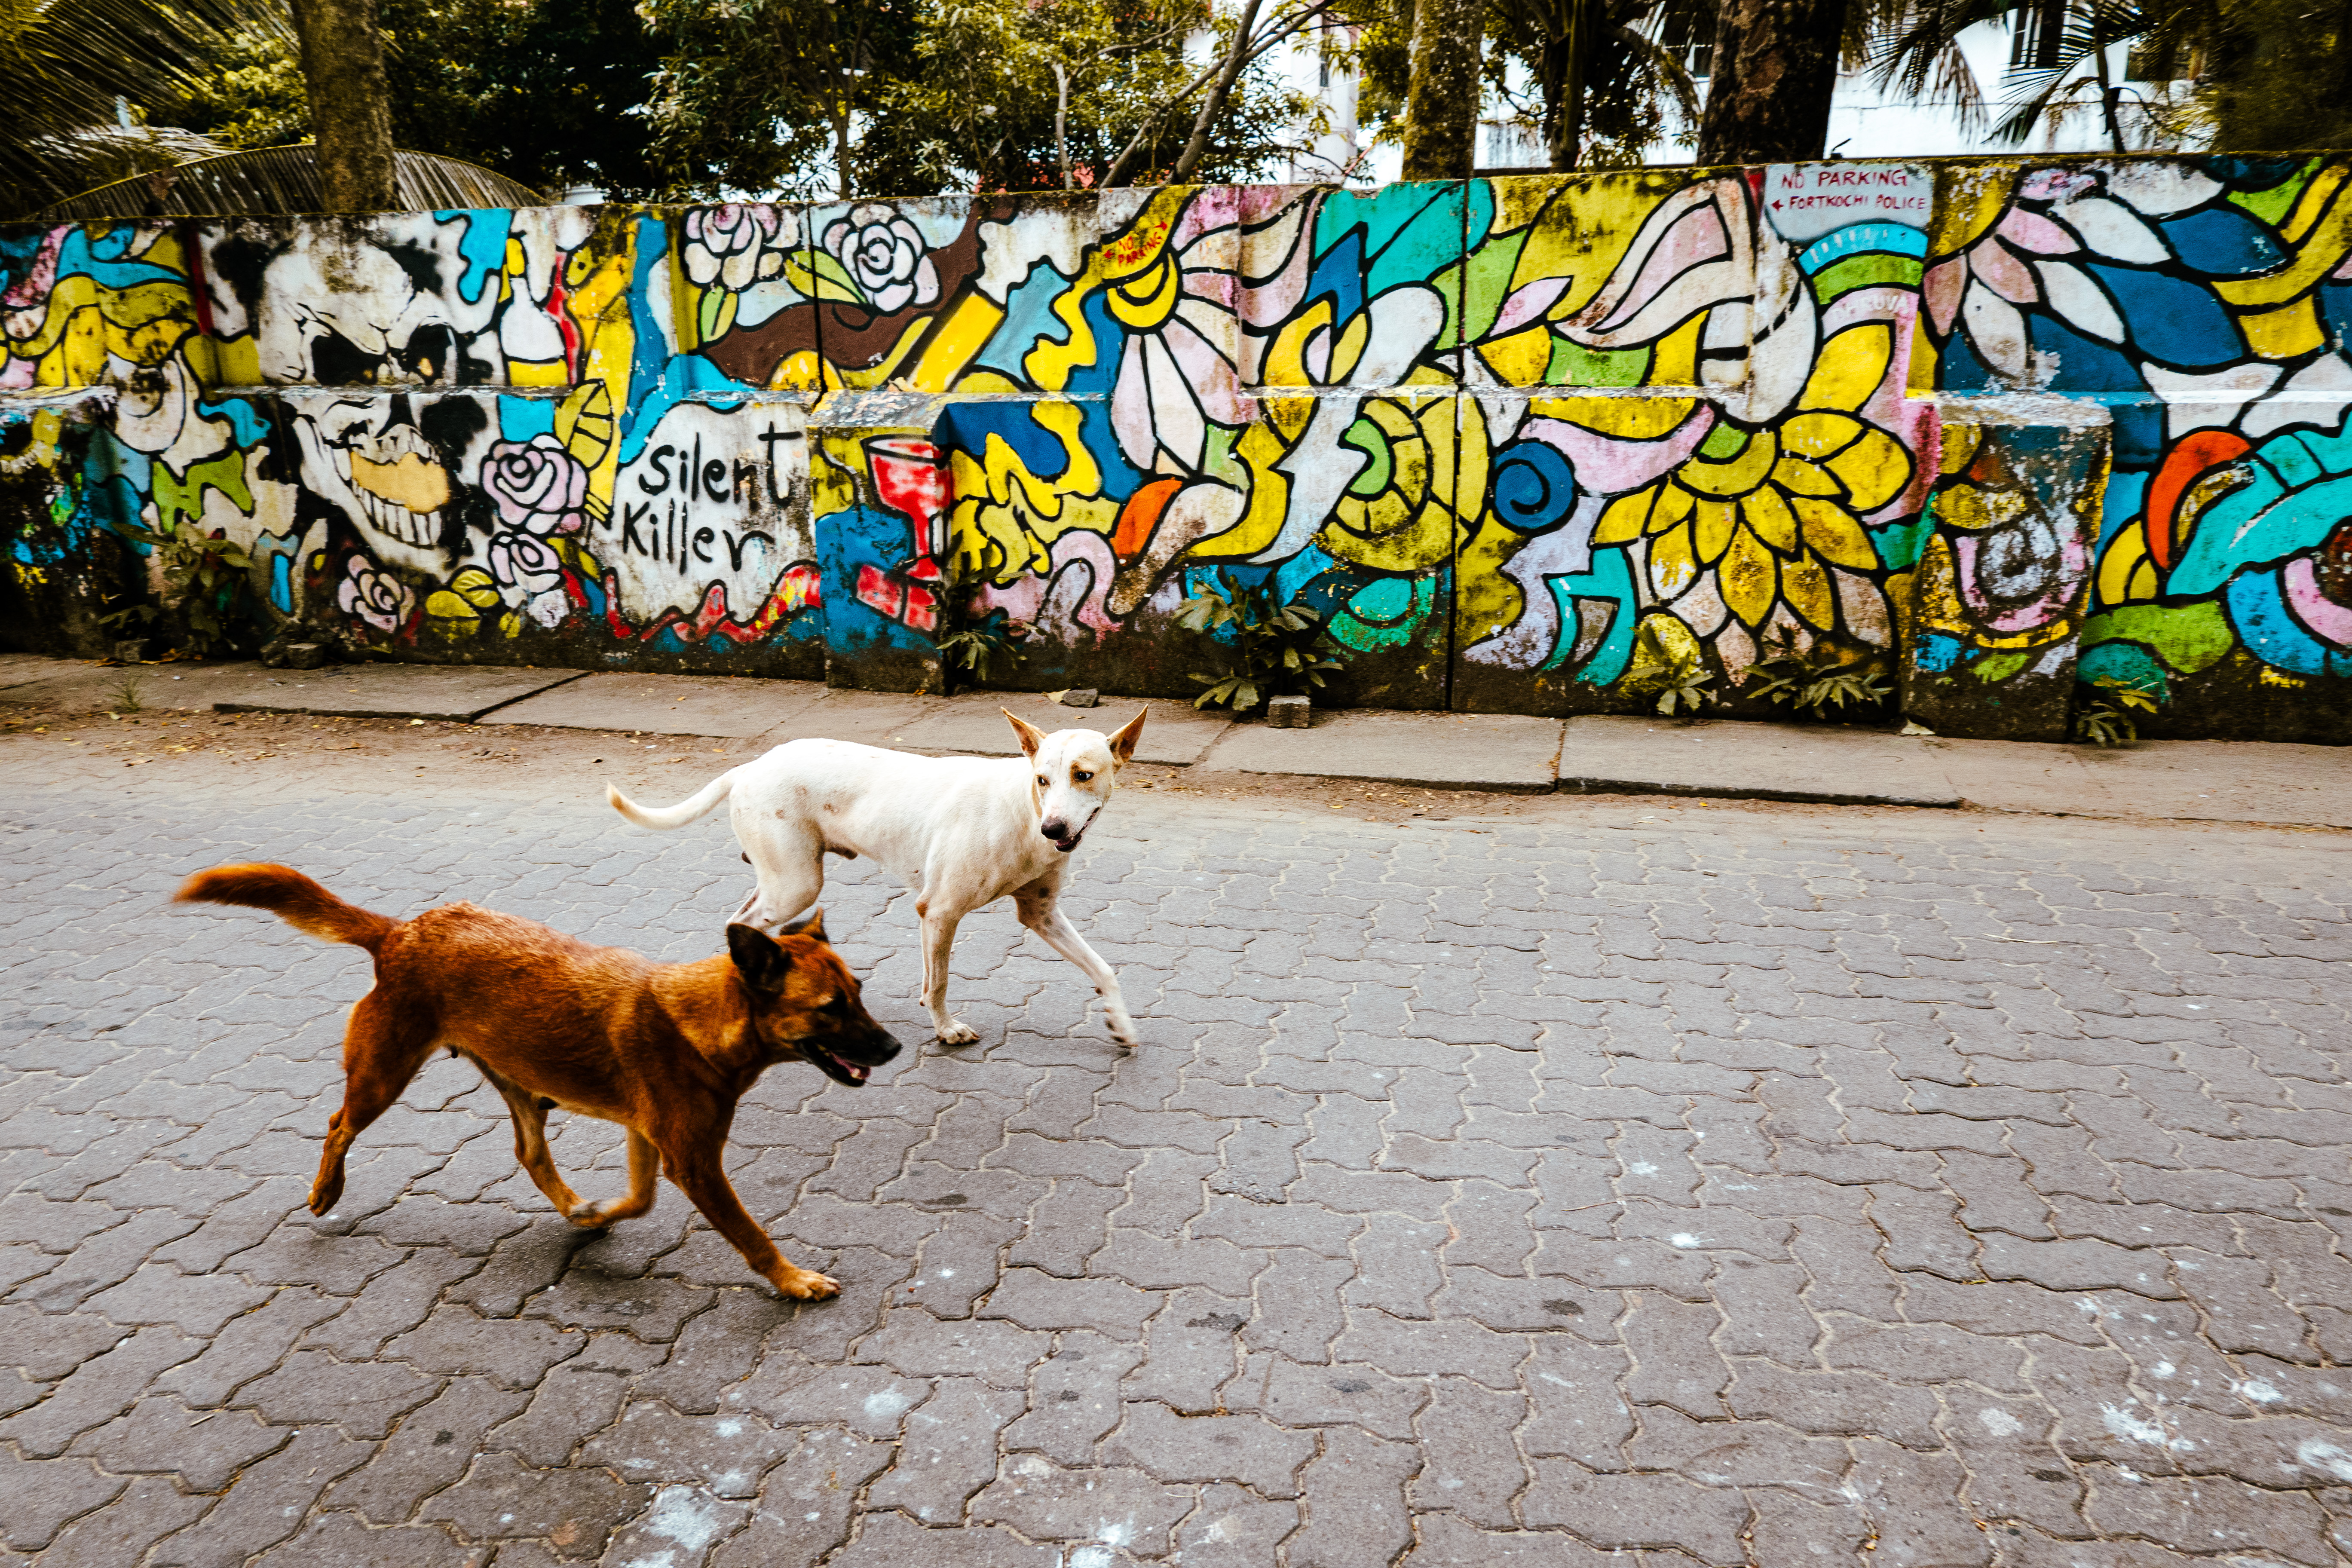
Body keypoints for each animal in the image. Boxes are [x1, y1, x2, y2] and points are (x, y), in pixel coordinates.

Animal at [178, 860, 898, 1298]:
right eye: (831, 1008)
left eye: (859, 993)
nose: (892, 1047)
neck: (707, 1019)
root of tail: (402, 931)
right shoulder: (694, 1163)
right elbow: (751, 1233)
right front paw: (793, 1280)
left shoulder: (650, 1139)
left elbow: (639, 1200)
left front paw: (595, 1213)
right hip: (383, 1075)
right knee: (337, 1125)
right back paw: (326, 1190)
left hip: (523, 1086)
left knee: (528, 1152)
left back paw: (571, 1203)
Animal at [606, 714, 1148, 1053]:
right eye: (1042, 780)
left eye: (1083, 776)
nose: (1054, 829)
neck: (1023, 811)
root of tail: (751, 765)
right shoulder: (940, 911)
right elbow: (940, 982)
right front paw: (945, 1029)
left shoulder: (1041, 914)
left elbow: (1105, 970)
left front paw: (1121, 1026)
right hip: (797, 885)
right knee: (741, 922)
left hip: (784, 882)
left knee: (746, 923)